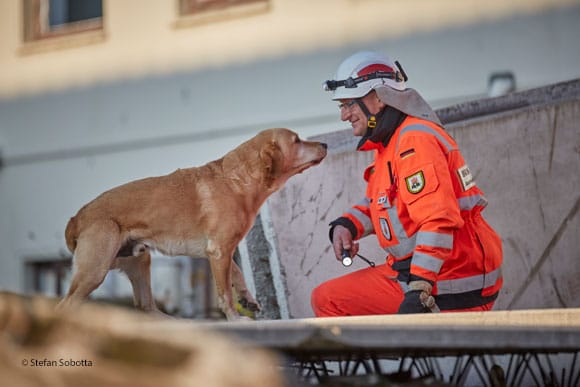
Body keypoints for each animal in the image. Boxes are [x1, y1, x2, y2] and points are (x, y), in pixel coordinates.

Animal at [57, 129, 326, 320]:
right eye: (296, 140)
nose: (324, 145)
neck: (239, 180)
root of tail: (77, 217)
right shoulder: (219, 251)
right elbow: (225, 294)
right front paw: (235, 318)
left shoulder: (220, 251)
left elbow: (236, 275)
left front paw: (247, 298)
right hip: (95, 271)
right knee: (65, 305)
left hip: (139, 259)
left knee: (146, 306)